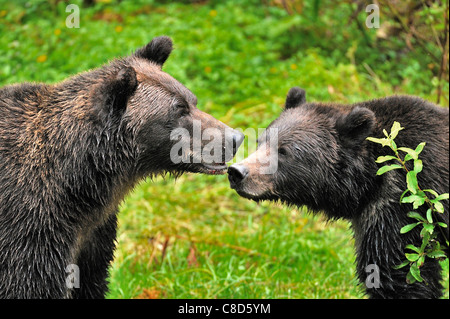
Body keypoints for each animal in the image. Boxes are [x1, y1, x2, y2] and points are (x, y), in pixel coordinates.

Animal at [230, 87, 448, 300]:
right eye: (260, 142)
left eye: (283, 151)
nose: (236, 172)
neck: (369, 181)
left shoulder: (403, 205)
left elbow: (398, 273)